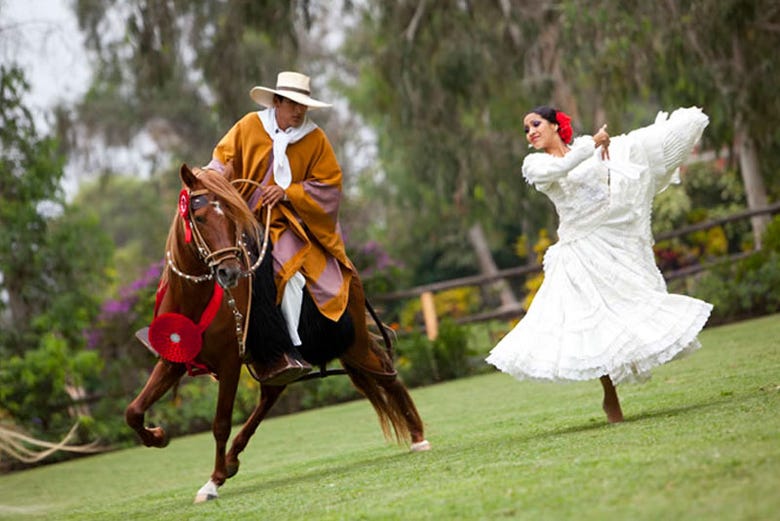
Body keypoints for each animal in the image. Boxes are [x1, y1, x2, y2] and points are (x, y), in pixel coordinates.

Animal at [123, 165, 426, 502]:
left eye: (231, 217)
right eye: (199, 217)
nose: (229, 272)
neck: (195, 300)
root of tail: (347, 269)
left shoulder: (230, 363)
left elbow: (220, 423)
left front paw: (212, 482)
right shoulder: (173, 358)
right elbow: (133, 411)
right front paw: (159, 436)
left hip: (355, 342)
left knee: (387, 374)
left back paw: (418, 436)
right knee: (272, 393)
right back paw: (232, 460)